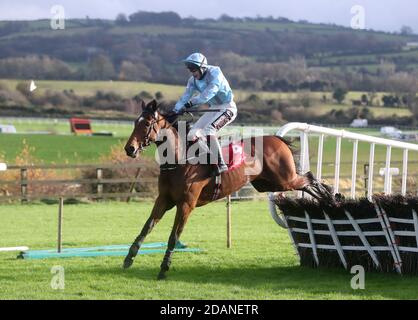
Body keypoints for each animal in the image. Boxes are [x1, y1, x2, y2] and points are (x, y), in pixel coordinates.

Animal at [121, 99, 334, 278]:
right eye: (135, 123)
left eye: (147, 124)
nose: (129, 149)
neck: (179, 159)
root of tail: (276, 139)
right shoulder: (164, 199)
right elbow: (147, 226)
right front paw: (129, 258)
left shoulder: (186, 204)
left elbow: (174, 236)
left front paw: (164, 268)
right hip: (267, 183)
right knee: (306, 182)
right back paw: (327, 199)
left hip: (284, 179)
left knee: (308, 178)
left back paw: (330, 195)